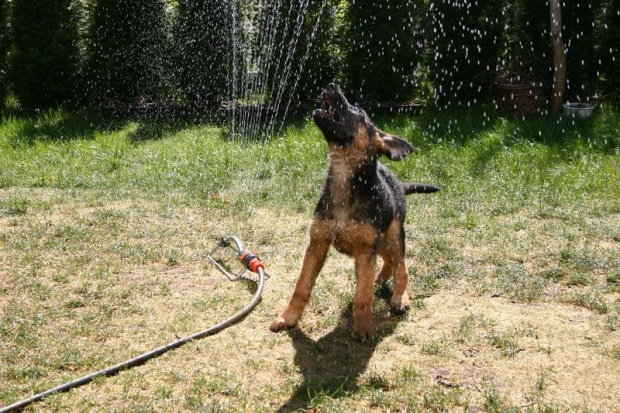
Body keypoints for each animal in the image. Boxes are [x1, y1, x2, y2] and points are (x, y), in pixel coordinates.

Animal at [270, 84, 436, 342]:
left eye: (358, 111)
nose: (331, 85)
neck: (344, 179)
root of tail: (399, 184)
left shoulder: (366, 250)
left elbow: (363, 296)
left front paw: (364, 327)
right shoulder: (317, 243)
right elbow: (302, 287)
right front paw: (288, 317)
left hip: (394, 234)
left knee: (402, 267)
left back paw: (400, 297)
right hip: (381, 241)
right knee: (389, 261)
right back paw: (382, 278)